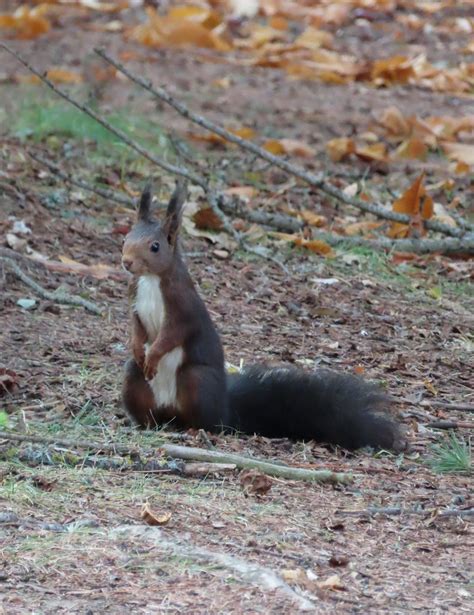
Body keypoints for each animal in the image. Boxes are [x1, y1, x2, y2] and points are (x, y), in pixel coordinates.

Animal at [121, 180, 404, 450]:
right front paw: (137, 348)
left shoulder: (183, 308)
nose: (126, 262)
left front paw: (153, 355)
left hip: (197, 382)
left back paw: (194, 429)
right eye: (126, 238)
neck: (151, 279)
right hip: (134, 381)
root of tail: (227, 410)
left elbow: (172, 334)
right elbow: (136, 326)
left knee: (207, 421)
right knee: (149, 406)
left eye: (155, 246)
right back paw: (144, 423)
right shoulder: (135, 300)